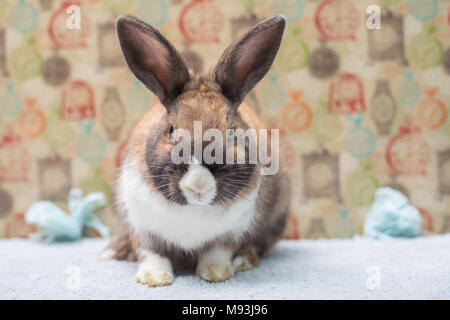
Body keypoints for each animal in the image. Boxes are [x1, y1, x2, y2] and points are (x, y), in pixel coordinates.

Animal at [98, 13, 292, 286]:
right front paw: (154, 278)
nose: (199, 185)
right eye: (171, 130)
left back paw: (244, 260)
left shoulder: (231, 233)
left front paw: (216, 273)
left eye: (231, 131)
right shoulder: (141, 227)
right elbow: (151, 252)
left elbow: (217, 252)